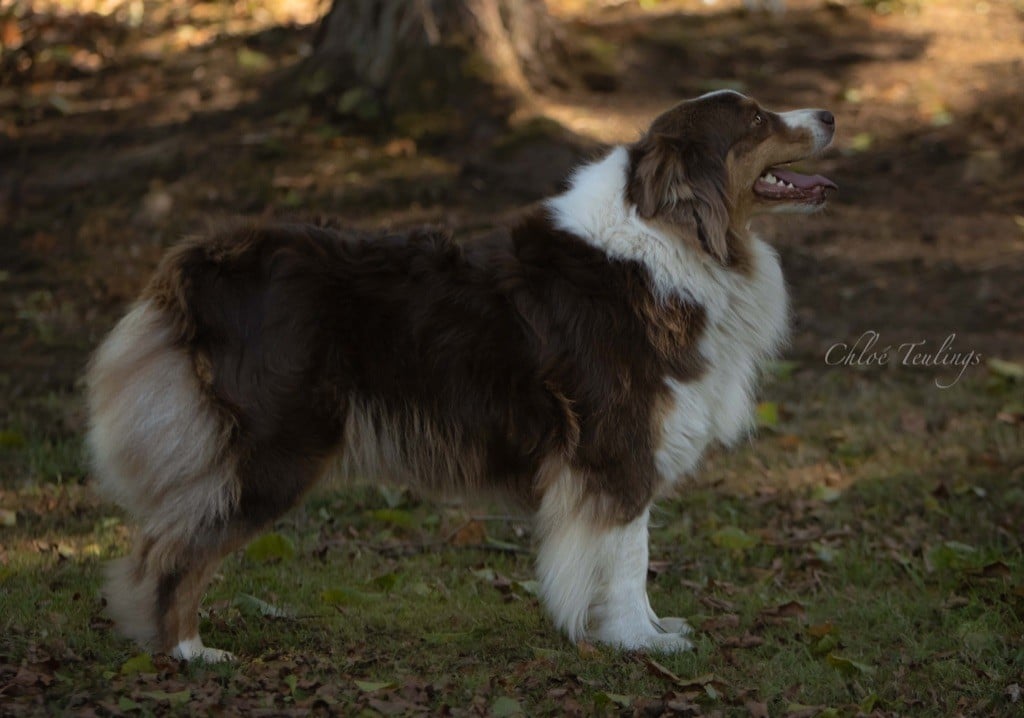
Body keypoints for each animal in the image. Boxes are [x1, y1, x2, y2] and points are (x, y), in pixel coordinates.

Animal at [88, 89, 835, 659]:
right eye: (756, 120)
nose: (829, 114)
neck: (675, 240)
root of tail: (209, 259)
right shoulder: (617, 448)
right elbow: (626, 557)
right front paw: (637, 642)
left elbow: (632, 551)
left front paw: (648, 628)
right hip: (277, 449)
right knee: (175, 546)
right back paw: (188, 651)